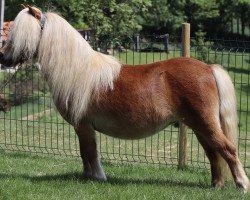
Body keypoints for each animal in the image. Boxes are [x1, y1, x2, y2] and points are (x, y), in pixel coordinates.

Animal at [0, 6, 249, 192]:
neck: (78, 70)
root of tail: (208, 67)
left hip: (204, 124)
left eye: (19, 33)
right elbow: (84, 153)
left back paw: (241, 184)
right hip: (198, 126)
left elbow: (90, 152)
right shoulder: (81, 127)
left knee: (228, 149)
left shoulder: (84, 125)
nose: (4, 59)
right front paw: (86, 176)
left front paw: (98, 177)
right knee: (213, 153)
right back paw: (216, 186)